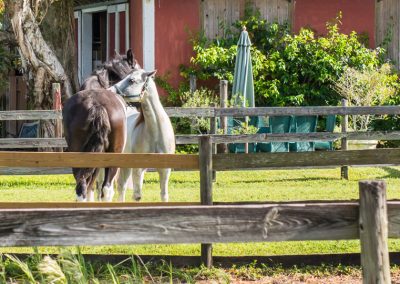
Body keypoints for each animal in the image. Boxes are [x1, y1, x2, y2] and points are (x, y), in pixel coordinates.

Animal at [114, 68, 173, 202]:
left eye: (131, 80)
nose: (110, 91)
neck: (155, 134)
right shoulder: (138, 168)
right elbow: (137, 196)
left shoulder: (165, 170)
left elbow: (164, 195)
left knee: (121, 186)